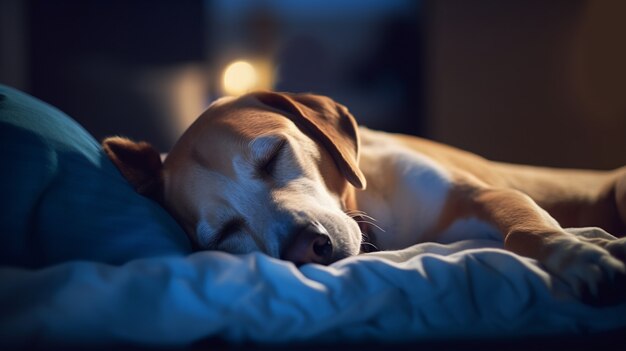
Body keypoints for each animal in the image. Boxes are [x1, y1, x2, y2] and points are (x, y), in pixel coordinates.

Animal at [102, 92, 624, 304]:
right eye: (227, 232)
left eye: (272, 156)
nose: (306, 248)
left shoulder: (486, 195)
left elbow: (527, 231)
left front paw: (580, 254)